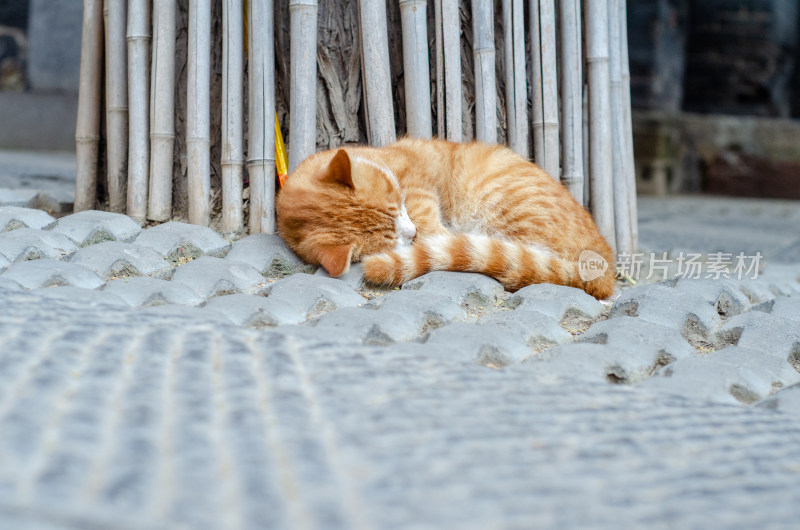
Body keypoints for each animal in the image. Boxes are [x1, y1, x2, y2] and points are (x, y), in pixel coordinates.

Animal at [278, 137, 616, 296]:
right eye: (390, 240)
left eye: (398, 204)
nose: (412, 235)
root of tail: (606, 263)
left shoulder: (419, 191)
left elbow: (433, 225)